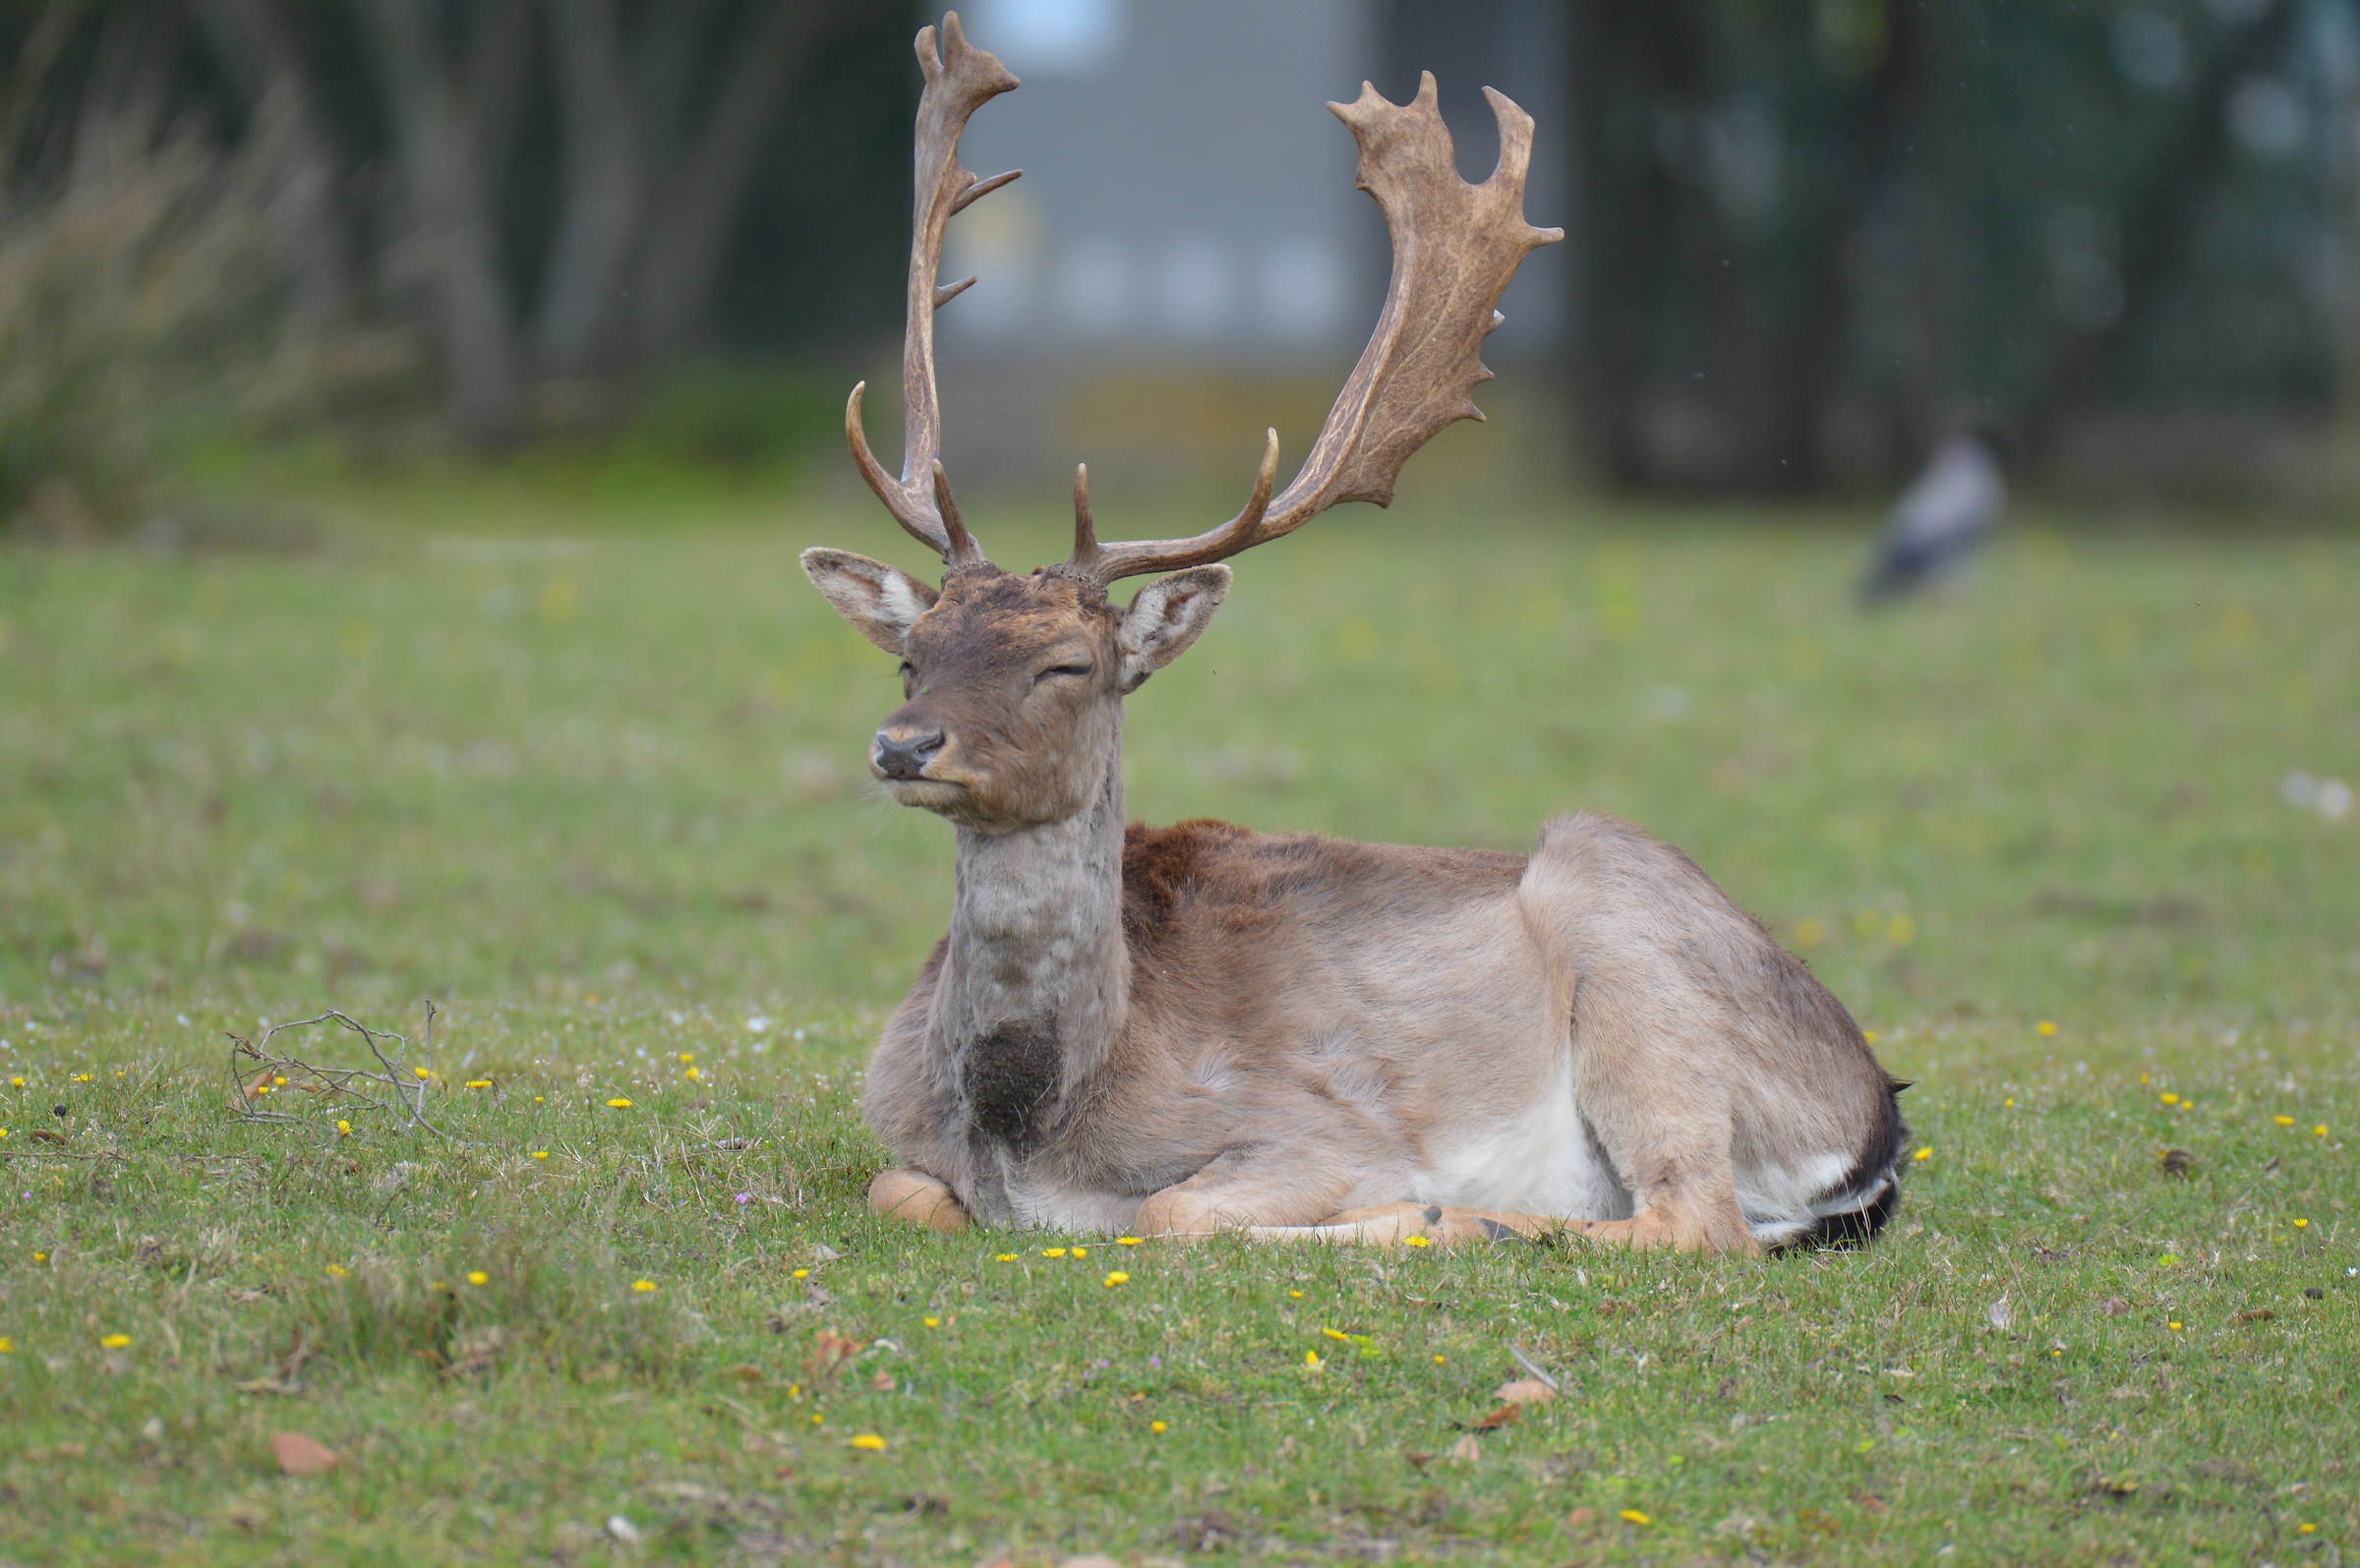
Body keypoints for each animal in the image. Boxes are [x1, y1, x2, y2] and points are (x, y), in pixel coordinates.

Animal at [799, 14, 1908, 1255]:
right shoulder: (903, 1135)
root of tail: (1878, 1116)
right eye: (912, 653)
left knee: (1693, 1217)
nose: (903, 745)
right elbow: (898, 1190)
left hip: (1635, 952)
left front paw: (1396, 1209)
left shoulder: (1312, 1123)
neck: (1029, 1132)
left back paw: (1460, 1217)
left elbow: (1174, 1209)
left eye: (1070, 663)